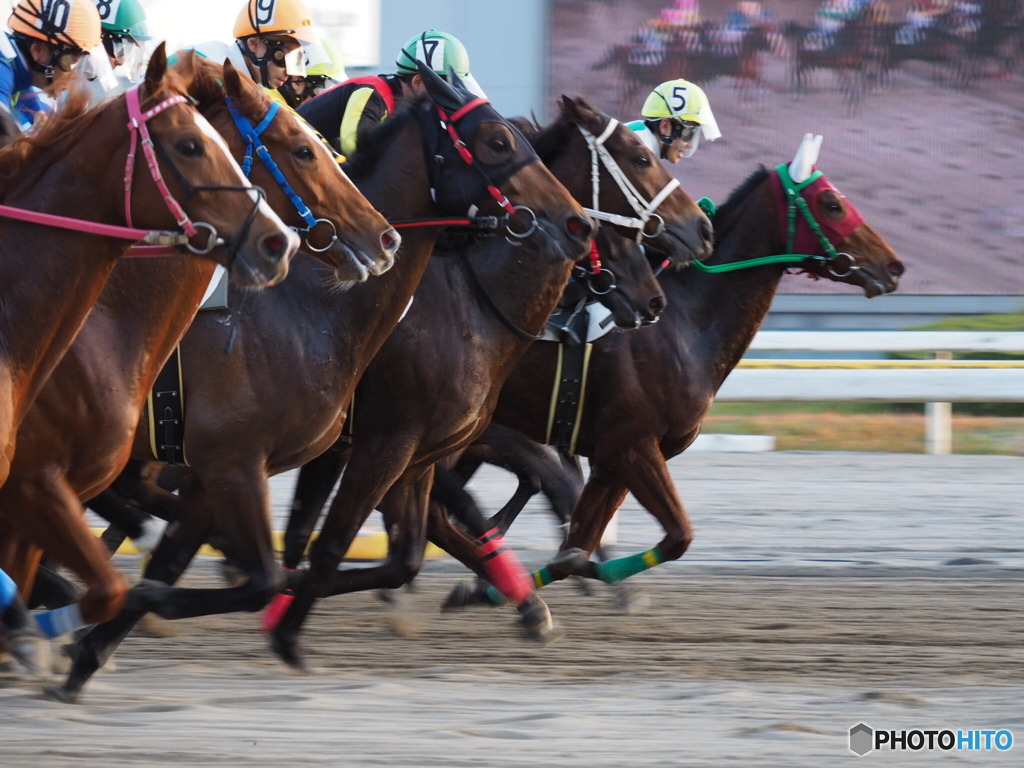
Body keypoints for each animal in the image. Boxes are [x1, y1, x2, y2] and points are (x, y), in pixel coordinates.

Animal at [59, 64, 593, 704]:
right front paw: (279, 627)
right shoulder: (367, 446)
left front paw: (93, 647)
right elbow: (323, 547)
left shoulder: (394, 455)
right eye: (496, 141)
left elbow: (391, 554)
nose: (577, 223)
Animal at [440, 135, 905, 610]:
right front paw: (497, 587)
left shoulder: (614, 457)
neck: (682, 325)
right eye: (832, 204)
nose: (892, 266)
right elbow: (676, 536)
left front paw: (492, 589)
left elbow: (575, 551)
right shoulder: (634, 446)